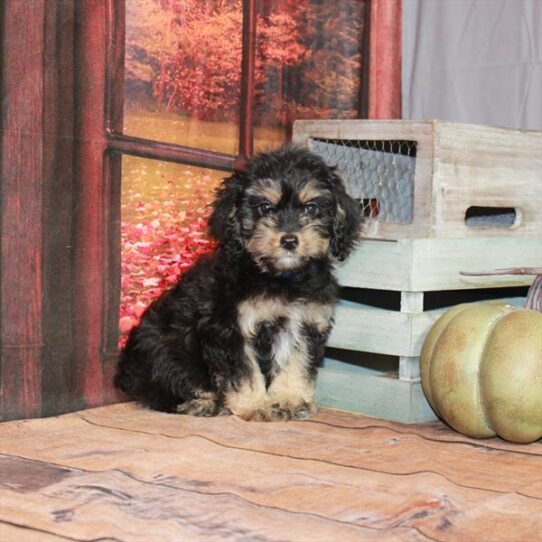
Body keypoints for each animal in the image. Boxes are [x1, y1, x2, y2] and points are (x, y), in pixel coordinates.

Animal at [115, 147, 362, 422]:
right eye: (265, 207)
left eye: (311, 208)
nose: (289, 240)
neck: (280, 278)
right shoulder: (227, 327)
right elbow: (243, 371)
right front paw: (256, 405)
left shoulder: (304, 323)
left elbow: (296, 362)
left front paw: (290, 400)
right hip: (164, 348)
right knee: (166, 385)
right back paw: (201, 403)